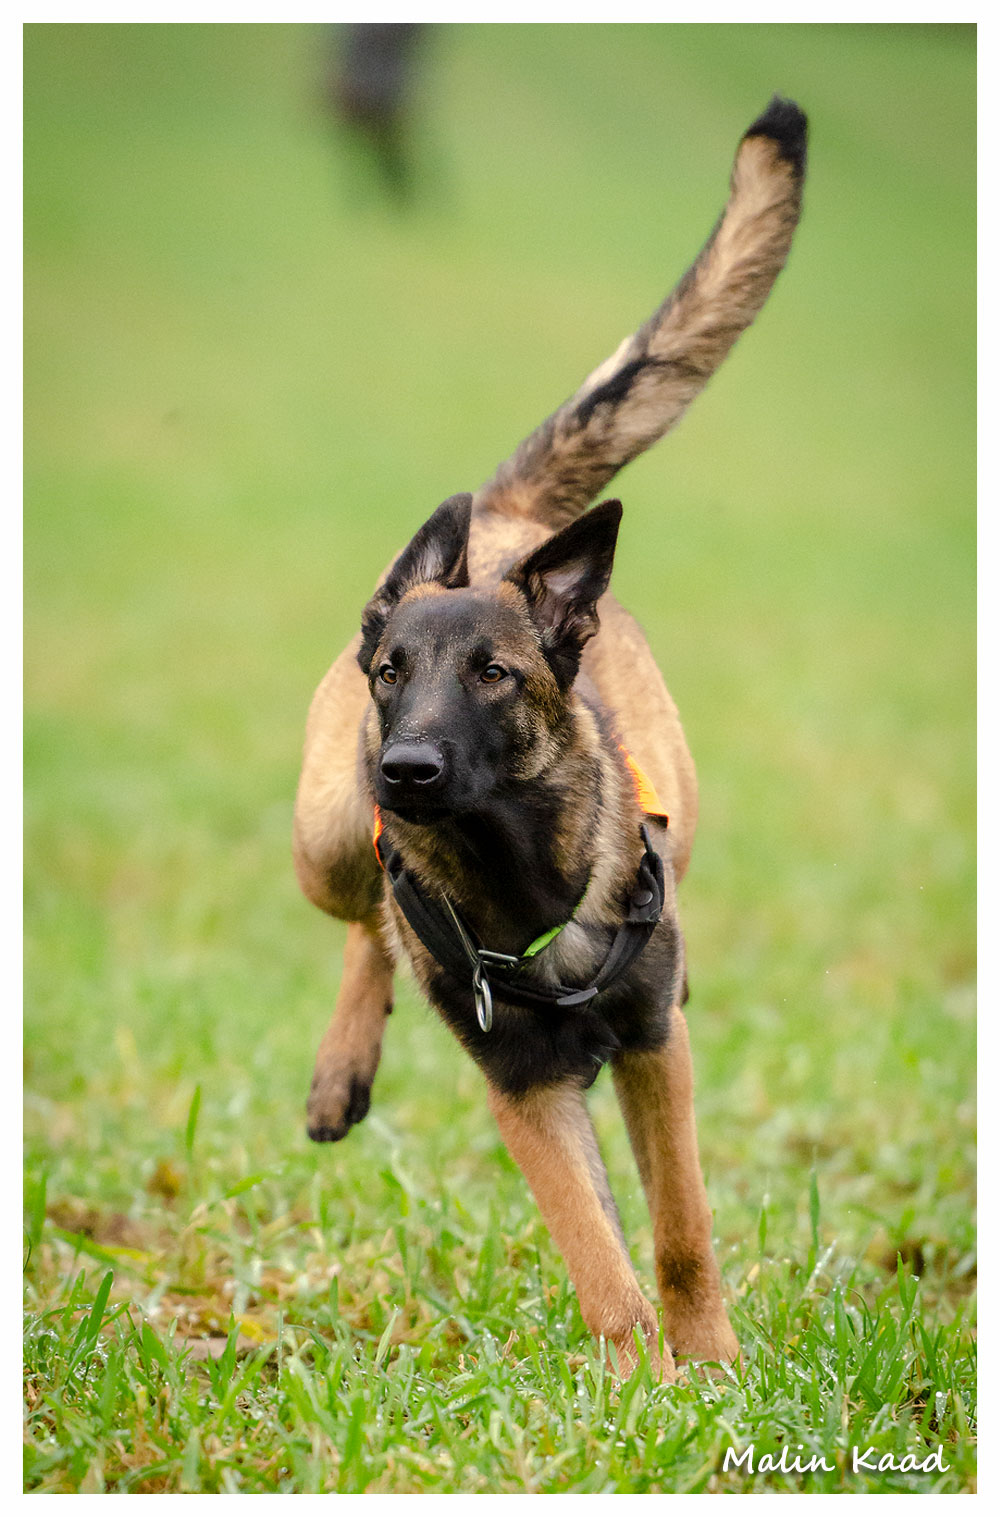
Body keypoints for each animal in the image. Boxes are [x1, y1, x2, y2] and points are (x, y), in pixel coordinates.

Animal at [293, 97, 806, 1379]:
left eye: (494, 674)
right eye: (393, 673)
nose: (407, 769)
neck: (515, 865)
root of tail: (511, 522)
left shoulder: (654, 1045)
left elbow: (677, 1231)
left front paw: (709, 1369)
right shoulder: (522, 1086)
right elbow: (599, 1260)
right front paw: (640, 1384)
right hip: (325, 831)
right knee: (365, 920)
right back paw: (342, 1066)